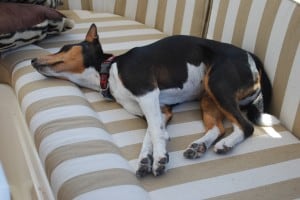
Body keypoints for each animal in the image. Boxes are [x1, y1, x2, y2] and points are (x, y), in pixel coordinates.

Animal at [32, 23, 272, 177]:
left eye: (64, 48)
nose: (33, 59)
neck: (108, 72)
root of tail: (250, 56)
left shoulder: (147, 93)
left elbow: (155, 132)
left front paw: (158, 159)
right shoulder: (158, 108)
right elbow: (151, 132)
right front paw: (145, 160)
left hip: (218, 85)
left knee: (246, 127)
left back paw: (225, 145)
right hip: (208, 97)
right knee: (218, 127)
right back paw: (199, 146)